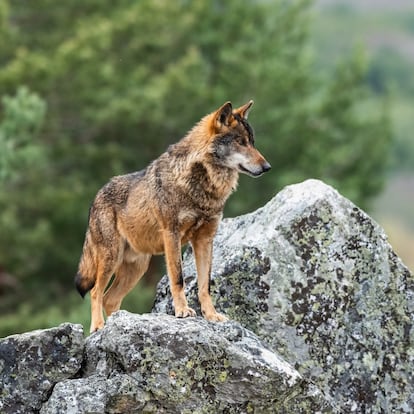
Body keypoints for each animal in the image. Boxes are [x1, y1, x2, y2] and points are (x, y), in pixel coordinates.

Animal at [75, 101, 270, 334]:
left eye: (252, 142)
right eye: (241, 142)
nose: (267, 167)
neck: (202, 186)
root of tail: (95, 197)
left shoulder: (205, 240)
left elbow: (205, 285)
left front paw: (211, 316)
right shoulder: (172, 235)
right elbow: (178, 279)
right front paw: (182, 311)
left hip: (137, 268)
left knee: (109, 299)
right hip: (111, 259)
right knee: (96, 292)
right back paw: (98, 326)